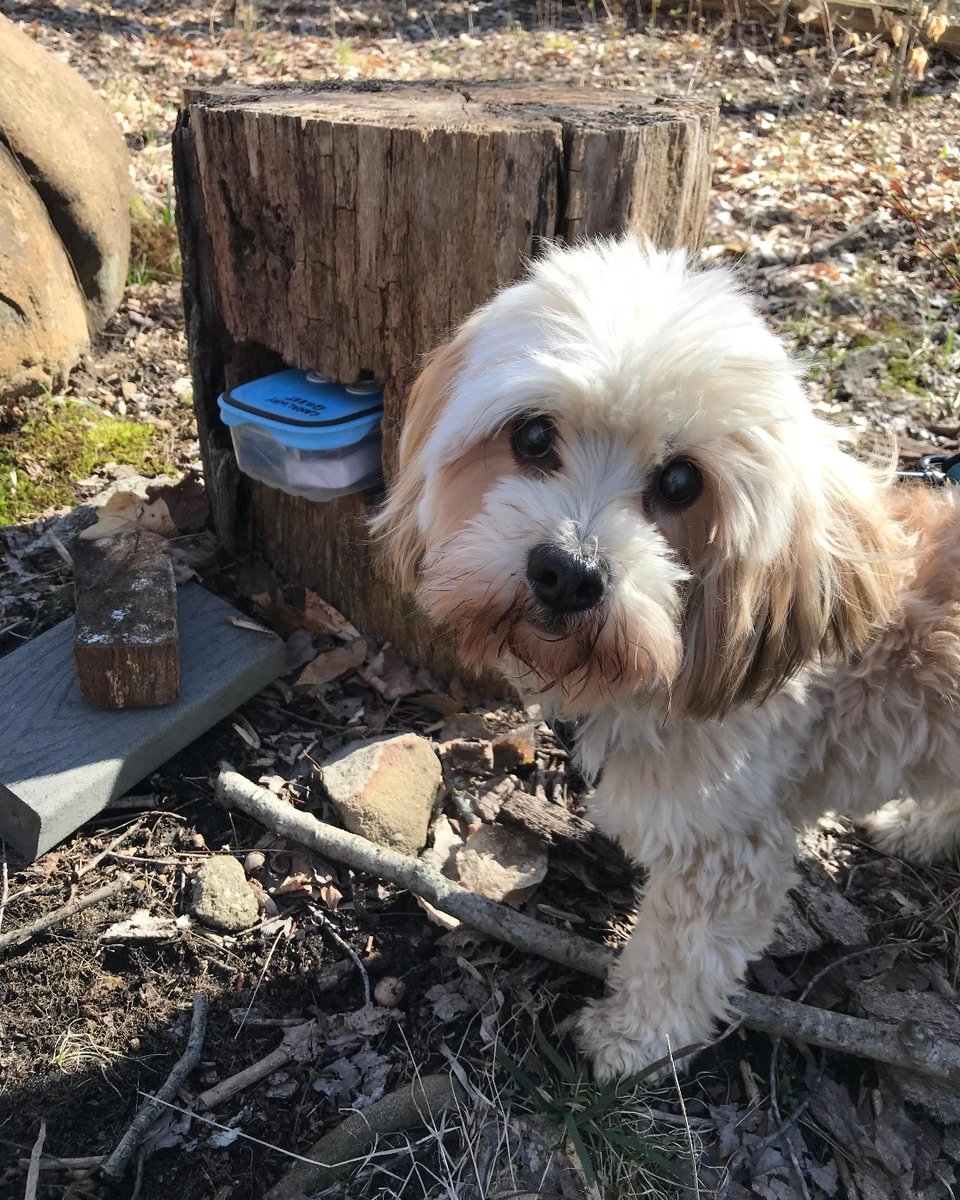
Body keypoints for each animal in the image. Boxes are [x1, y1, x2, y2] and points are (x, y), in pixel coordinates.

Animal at [369, 238, 960, 1084]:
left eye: (682, 481)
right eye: (532, 437)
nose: (567, 572)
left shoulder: (725, 845)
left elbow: (679, 958)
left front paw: (631, 1042)